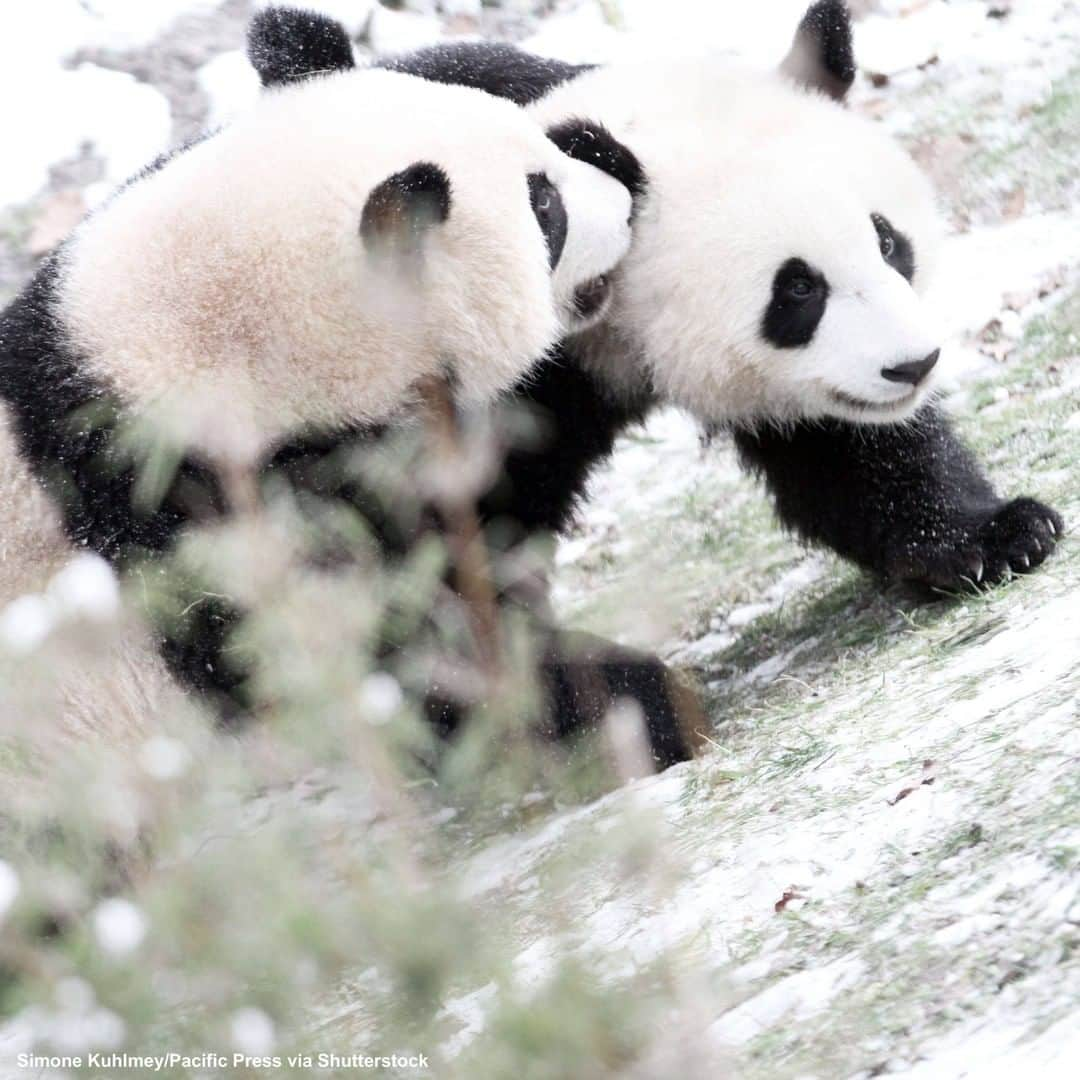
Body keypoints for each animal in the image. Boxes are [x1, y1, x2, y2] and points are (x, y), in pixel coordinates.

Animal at [245, 2, 1062, 760]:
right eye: (797, 290)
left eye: (888, 242)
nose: (911, 366)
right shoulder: (404, 393)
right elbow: (415, 586)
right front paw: (629, 703)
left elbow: (845, 453)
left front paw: (994, 536)